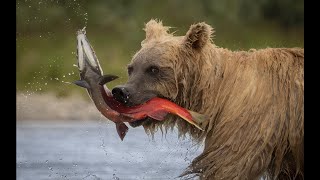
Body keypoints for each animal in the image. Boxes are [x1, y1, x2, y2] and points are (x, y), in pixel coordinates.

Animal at [113, 19, 304, 179]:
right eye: (131, 68)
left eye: (153, 69)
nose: (121, 92)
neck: (218, 96)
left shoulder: (252, 124)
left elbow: (226, 166)